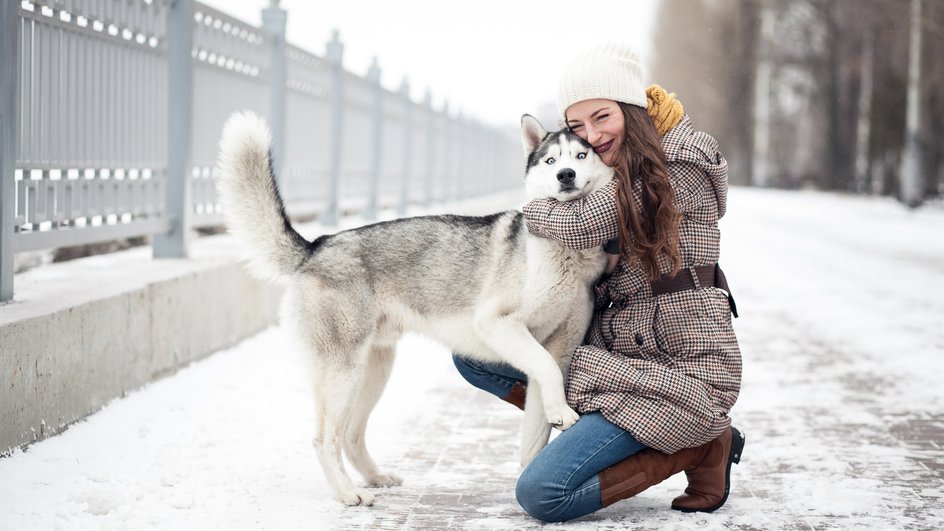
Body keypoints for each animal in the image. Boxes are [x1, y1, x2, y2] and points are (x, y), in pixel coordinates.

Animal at [215, 112, 612, 508]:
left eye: (581, 156)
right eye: (551, 160)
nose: (565, 175)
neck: (568, 250)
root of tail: (317, 246)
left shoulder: (560, 347)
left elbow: (539, 417)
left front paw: (536, 462)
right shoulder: (497, 324)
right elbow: (547, 371)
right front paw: (560, 417)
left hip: (374, 369)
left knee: (351, 434)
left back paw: (375, 477)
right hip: (342, 372)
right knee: (324, 439)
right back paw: (347, 492)